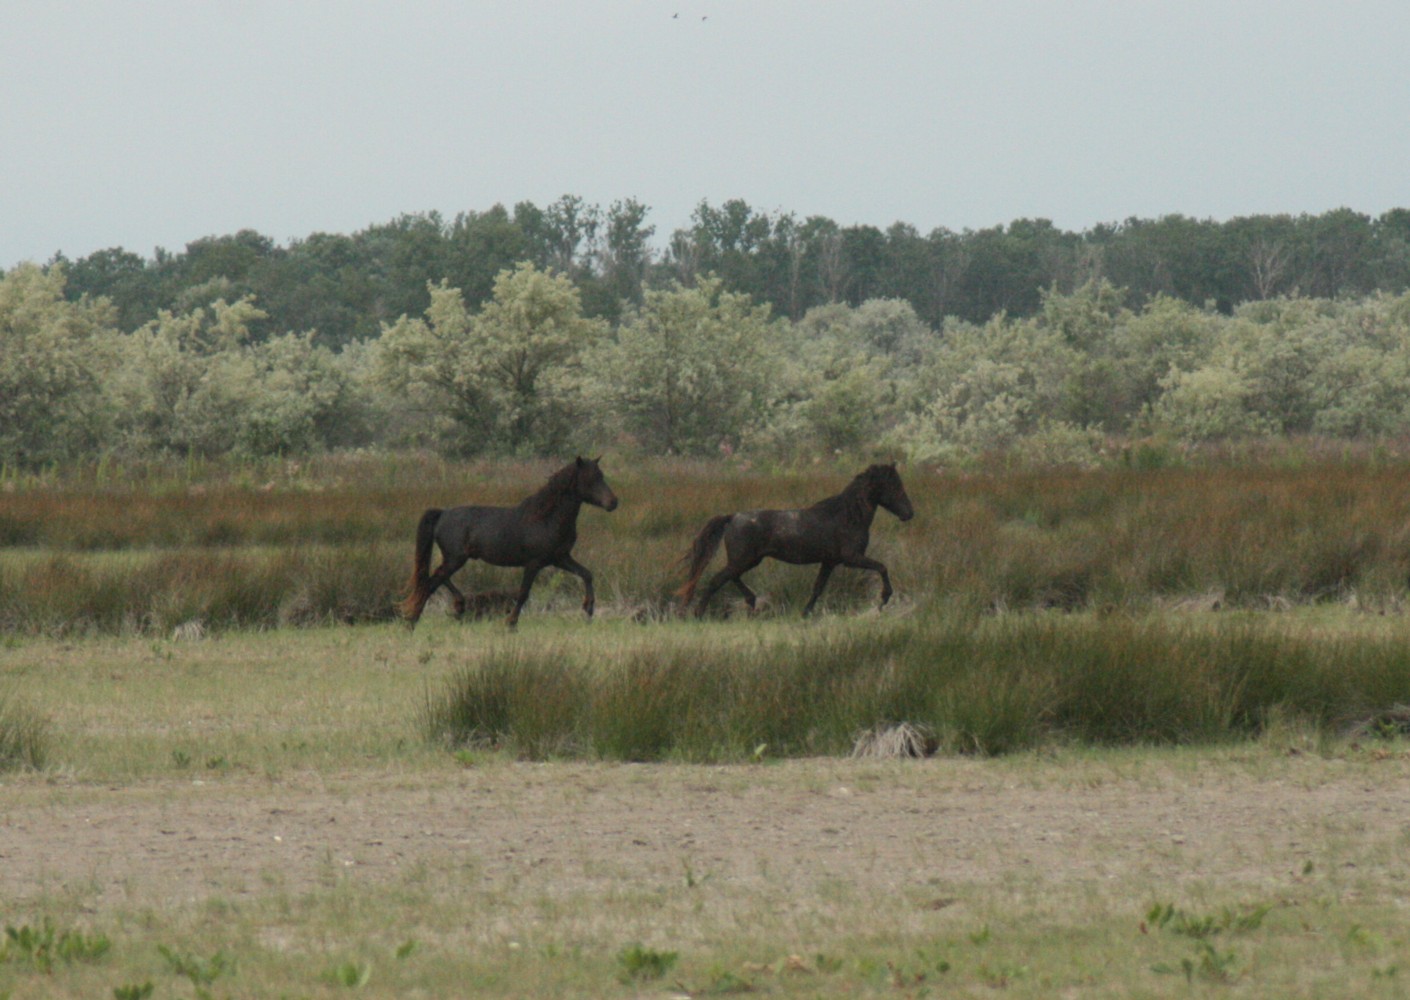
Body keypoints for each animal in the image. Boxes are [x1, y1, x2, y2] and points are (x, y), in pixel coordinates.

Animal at [399, 456, 619, 629]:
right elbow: (523, 593)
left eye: (602, 475)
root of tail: (443, 513)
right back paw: (412, 621)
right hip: (455, 558)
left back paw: (458, 605)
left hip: (455, 558)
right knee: (431, 582)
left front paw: (588, 607)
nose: (613, 502)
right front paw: (511, 623)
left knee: (438, 576)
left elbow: (586, 574)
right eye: (590, 479)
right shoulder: (534, 563)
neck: (547, 518)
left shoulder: (560, 558)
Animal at [677, 463, 915, 618]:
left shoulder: (830, 562)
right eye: (895, 486)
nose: (909, 514)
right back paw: (698, 613)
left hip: (748, 560)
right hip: (743, 560)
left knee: (730, 577)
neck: (847, 515)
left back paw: (751, 602)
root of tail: (732, 517)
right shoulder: (852, 558)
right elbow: (882, 567)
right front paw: (884, 599)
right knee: (716, 580)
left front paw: (805, 613)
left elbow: (817, 587)